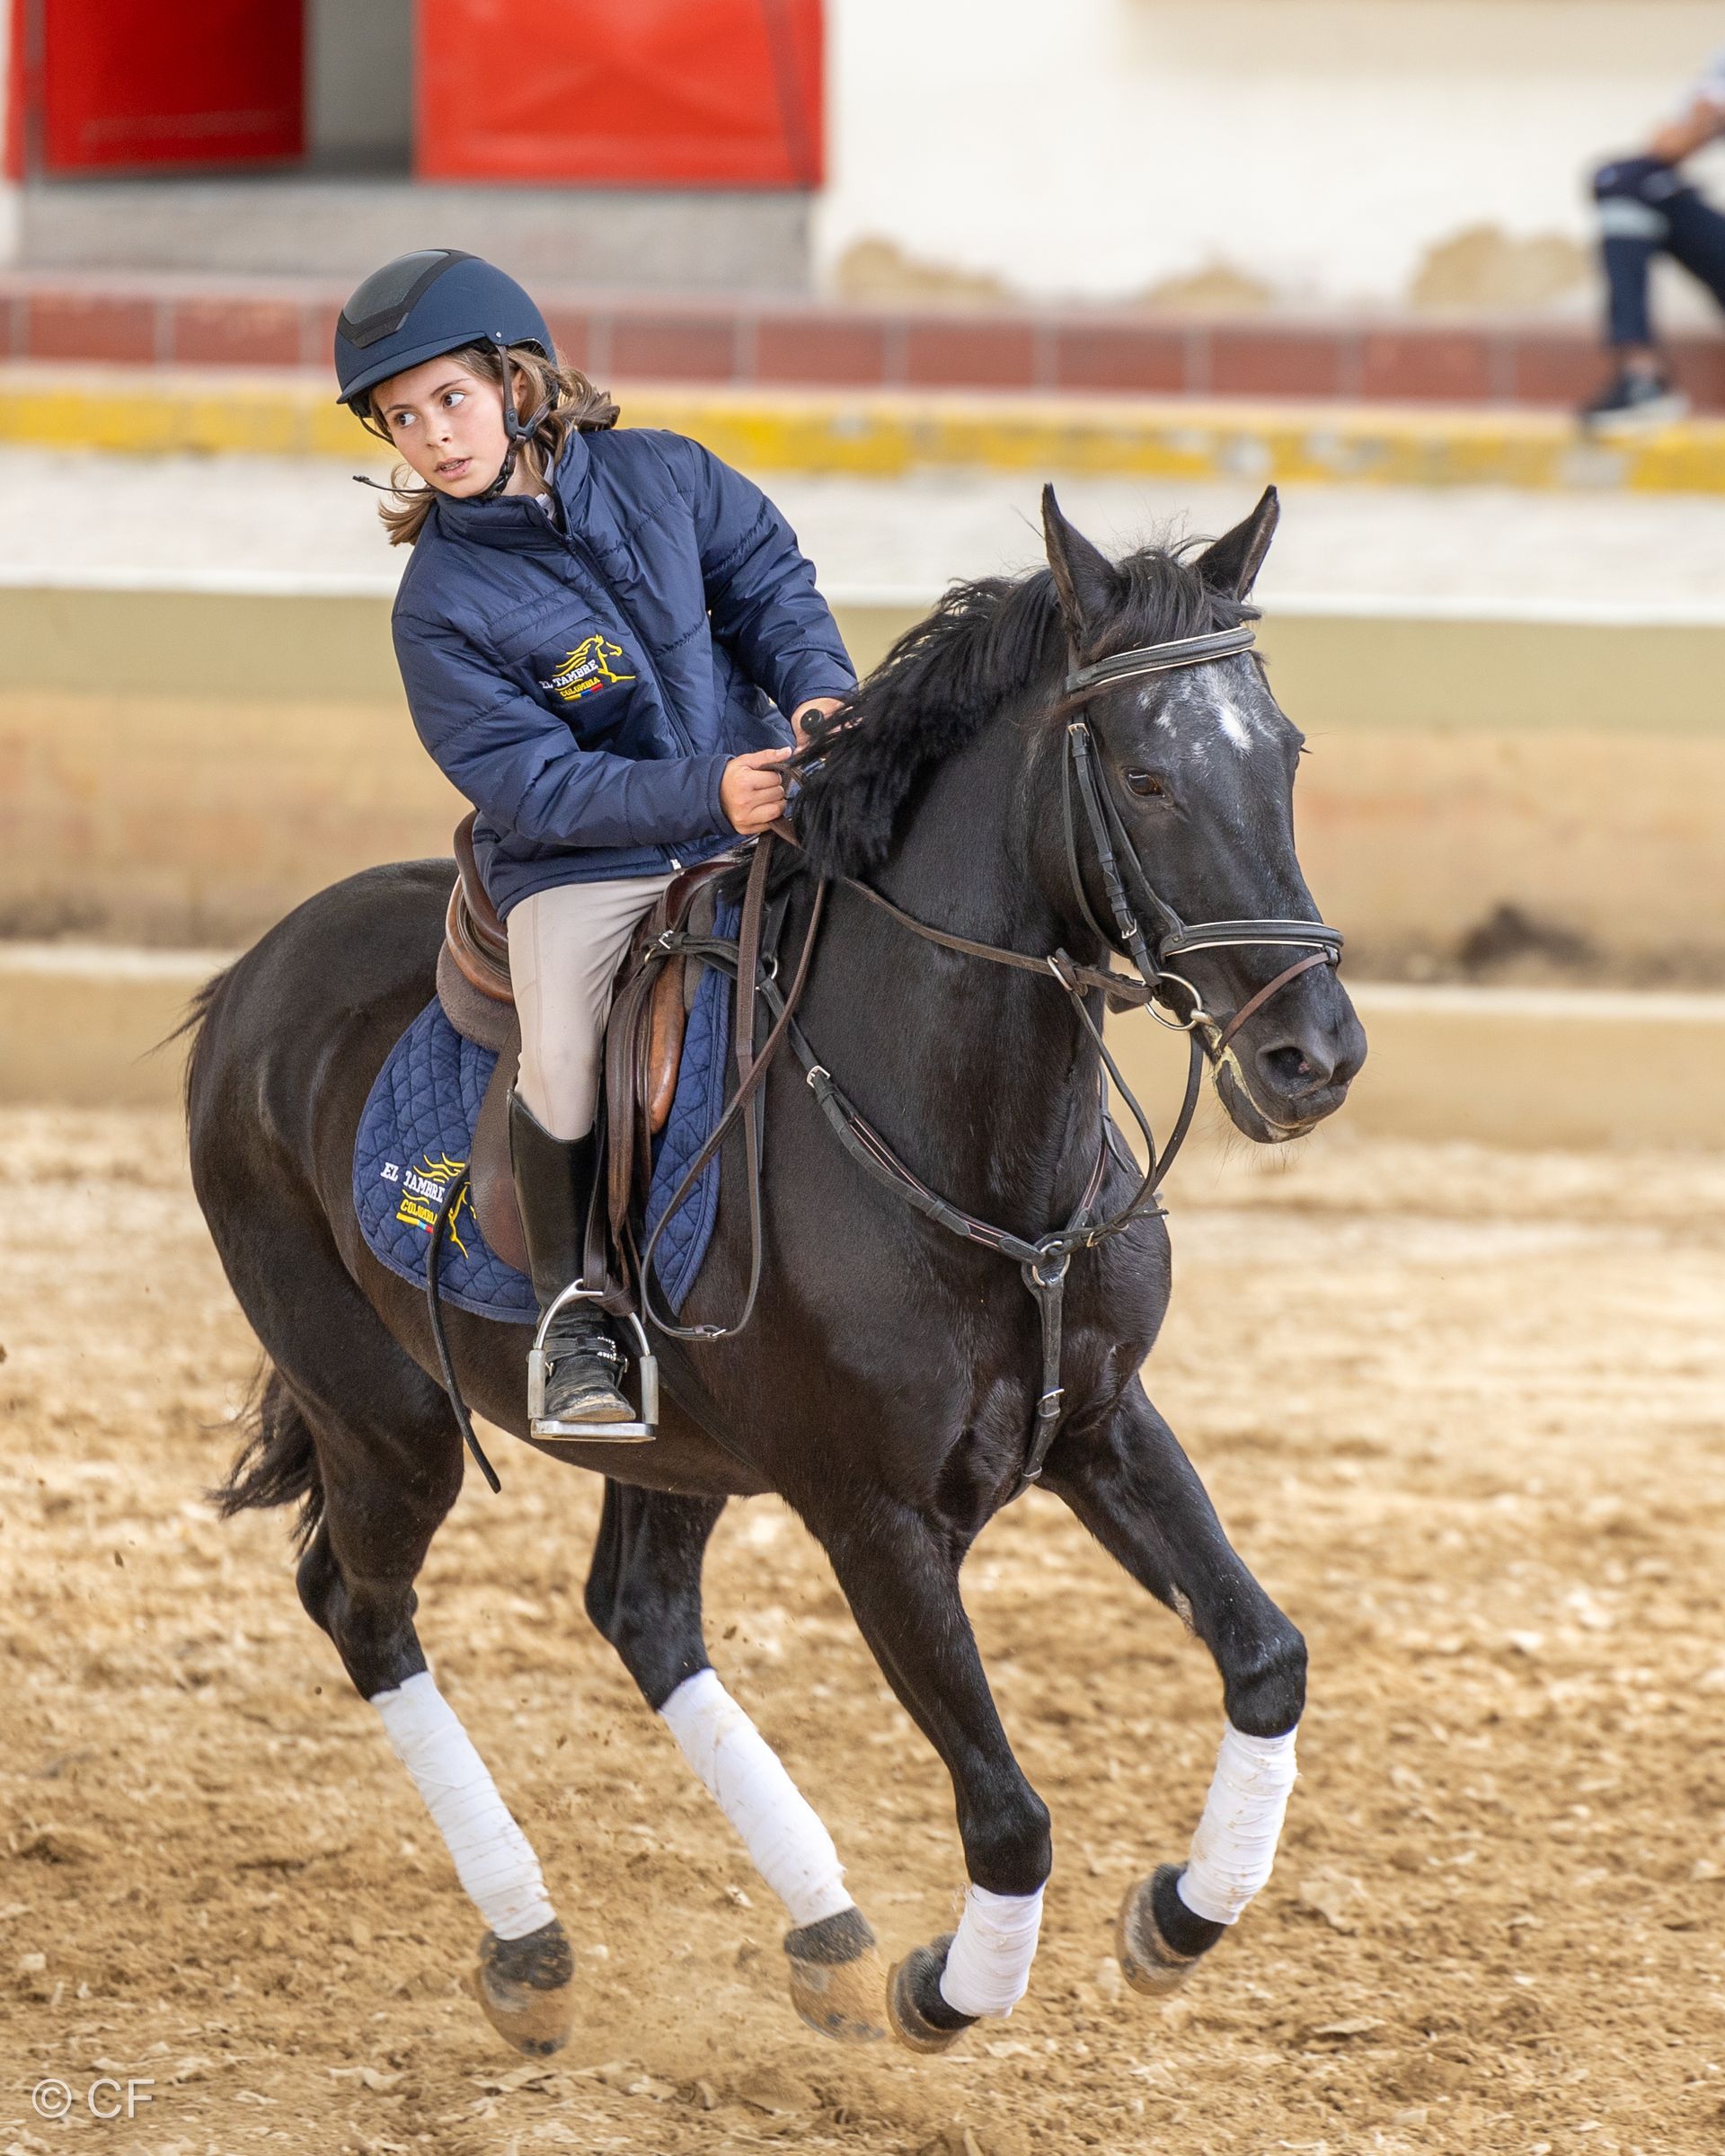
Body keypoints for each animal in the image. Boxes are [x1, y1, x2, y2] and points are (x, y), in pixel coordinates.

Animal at [183, 483, 1366, 2059]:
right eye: (1148, 776)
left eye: (1281, 755)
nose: (1314, 1054)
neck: (966, 1153)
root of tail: (251, 979)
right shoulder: (874, 1521)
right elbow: (1009, 1815)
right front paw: (946, 1992)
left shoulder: (1107, 1426)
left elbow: (1267, 1659)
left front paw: (1181, 1915)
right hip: (383, 1419)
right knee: (364, 1612)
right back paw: (535, 1945)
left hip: (667, 1449)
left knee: (639, 1614)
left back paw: (822, 1931)